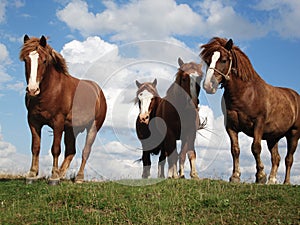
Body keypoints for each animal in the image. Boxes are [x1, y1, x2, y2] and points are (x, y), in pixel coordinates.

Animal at [19, 34, 106, 184]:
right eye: (26, 60)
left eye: (44, 61)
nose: (32, 90)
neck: (50, 91)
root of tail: (99, 92)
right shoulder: (33, 122)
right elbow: (35, 147)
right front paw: (32, 174)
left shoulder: (58, 122)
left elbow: (55, 149)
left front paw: (53, 177)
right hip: (71, 129)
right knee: (71, 151)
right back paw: (62, 173)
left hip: (93, 128)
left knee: (86, 151)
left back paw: (78, 177)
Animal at [199, 37, 300, 185]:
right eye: (208, 61)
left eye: (224, 60)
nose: (208, 85)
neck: (245, 93)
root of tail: (295, 96)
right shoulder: (231, 127)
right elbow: (235, 149)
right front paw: (235, 176)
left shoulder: (258, 124)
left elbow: (255, 148)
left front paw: (260, 176)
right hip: (273, 137)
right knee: (276, 158)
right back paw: (272, 180)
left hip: (294, 133)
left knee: (289, 158)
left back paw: (286, 182)